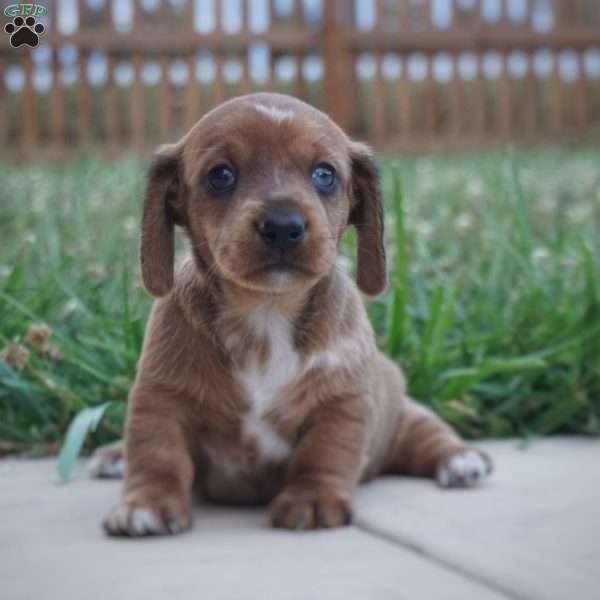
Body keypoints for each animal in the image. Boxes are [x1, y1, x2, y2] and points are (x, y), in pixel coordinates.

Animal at [94, 92, 492, 536]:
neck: (267, 311)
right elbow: (156, 455)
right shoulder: (160, 399)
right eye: (221, 175)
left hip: (402, 422)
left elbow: (323, 454)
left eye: (325, 174)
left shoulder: (340, 404)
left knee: (431, 435)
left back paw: (461, 458)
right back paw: (114, 456)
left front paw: (312, 499)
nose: (283, 225)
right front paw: (146, 504)